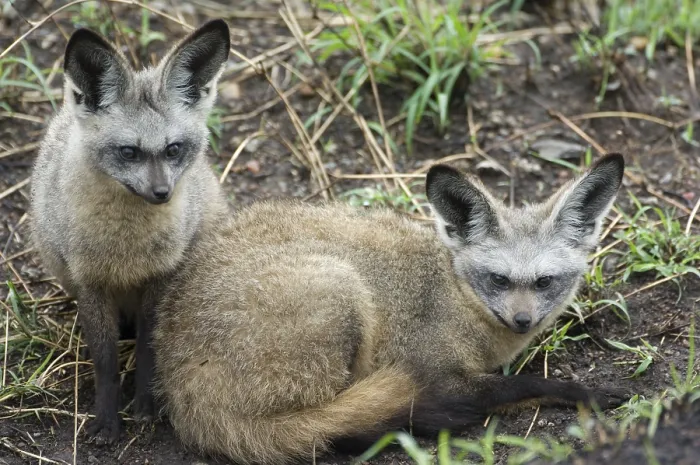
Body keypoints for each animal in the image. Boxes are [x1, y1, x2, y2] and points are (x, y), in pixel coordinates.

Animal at [29, 19, 231, 444]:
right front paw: (107, 420)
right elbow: (105, 362)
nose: (162, 193)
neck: (127, 250)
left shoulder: (160, 278)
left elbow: (148, 350)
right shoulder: (89, 281)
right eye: (129, 152)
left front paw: (146, 406)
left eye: (173, 149)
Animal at [152, 154, 628, 464]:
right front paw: (587, 392)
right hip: (343, 290)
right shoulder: (440, 374)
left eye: (545, 281)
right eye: (499, 279)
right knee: (337, 425)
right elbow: (513, 386)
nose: (522, 320)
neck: (453, 291)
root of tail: (179, 388)